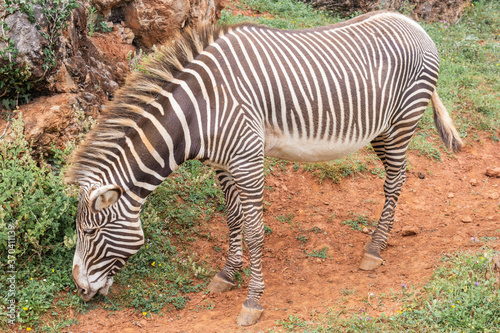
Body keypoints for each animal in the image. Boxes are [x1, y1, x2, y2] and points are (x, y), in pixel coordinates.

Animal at [66, 11, 460, 326]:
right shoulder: (224, 165)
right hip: (382, 128)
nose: (80, 290)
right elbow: (233, 219)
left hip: (401, 122)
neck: (200, 112)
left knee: (395, 181)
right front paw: (227, 274)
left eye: (89, 232)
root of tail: (412, 22)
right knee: (396, 176)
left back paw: (374, 250)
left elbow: (255, 231)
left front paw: (252, 301)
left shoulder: (247, 160)